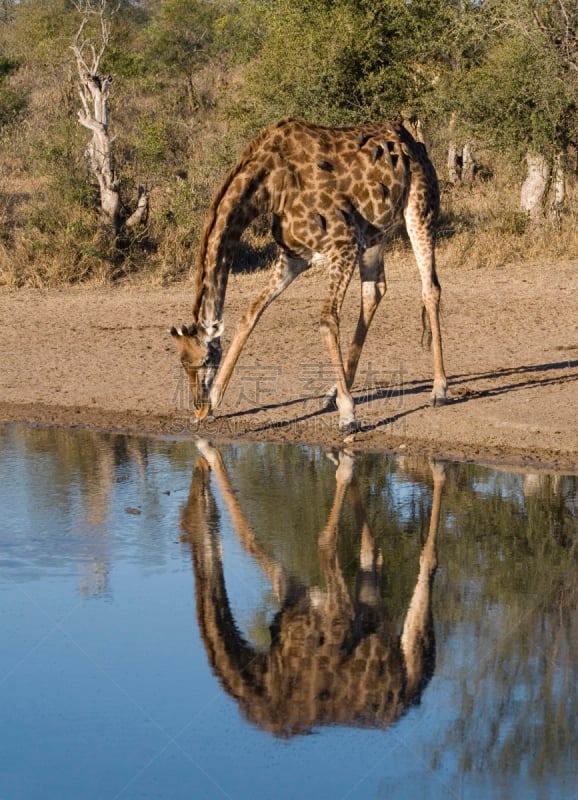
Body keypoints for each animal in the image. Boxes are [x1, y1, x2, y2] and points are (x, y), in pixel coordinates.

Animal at [171, 115, 446, 434]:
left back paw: (439, 389)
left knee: (430, 288)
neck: (269, 187)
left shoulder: (344, 242)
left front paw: (348, 416)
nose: (199, 406)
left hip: (419, 209)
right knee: (374, 291)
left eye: (204, 360)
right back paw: (333, 391)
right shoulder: (294, 256)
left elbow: (327, 319)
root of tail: (411, 140)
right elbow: (251, 312)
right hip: (376, 232)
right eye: (183, 363)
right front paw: (215, 403)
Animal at [181, 440, 446, 736]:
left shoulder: (338, 612)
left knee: (428, 562)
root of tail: (409, 699)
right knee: (372, 553)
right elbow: (247, 539)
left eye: (190, 510)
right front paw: (208, 449)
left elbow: (323, 543)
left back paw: (436, 467)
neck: (265, 675)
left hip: (413, 651)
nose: (198, 472)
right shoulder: (295, 591)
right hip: (372, 606)